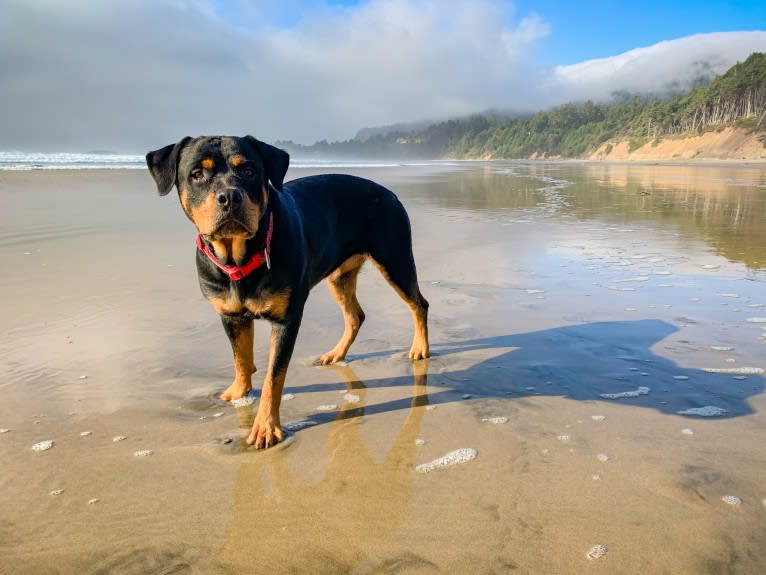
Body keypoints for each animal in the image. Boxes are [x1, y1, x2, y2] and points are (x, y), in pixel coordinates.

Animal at [147, 136, 428, 450]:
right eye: (197, 174)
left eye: (249, 171)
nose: (230, 196)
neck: (239, 257)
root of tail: (389, 193)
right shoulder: (231, 316)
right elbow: (240, 359)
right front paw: (238, 393)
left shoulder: (286, 319)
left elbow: (274, 376)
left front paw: (265, 427)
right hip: (340, 276)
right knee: (356, 315)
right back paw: (336, 353)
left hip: (395, 258)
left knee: (419, 304)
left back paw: (419, 348)